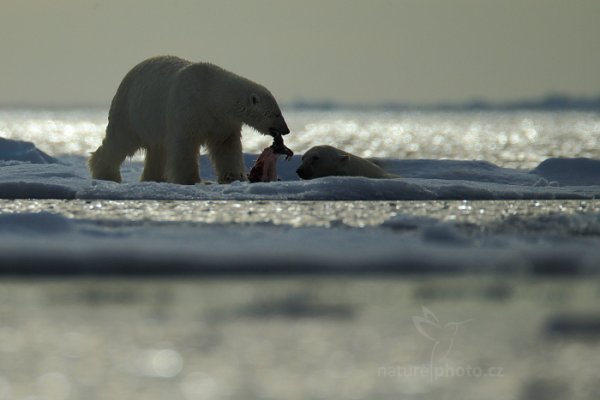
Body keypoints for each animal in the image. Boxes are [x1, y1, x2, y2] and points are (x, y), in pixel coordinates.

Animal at [88, 55, 290, 184]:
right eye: (276, 114)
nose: (286, 130)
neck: (212, 93)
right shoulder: (189, 109)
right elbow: (184, 145)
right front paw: (192, 180)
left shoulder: (222, 121)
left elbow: (226, 145)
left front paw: (234, 177)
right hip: (131, 110)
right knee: (120, 141)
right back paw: (107, 174)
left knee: (157, 150)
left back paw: (154, 178)